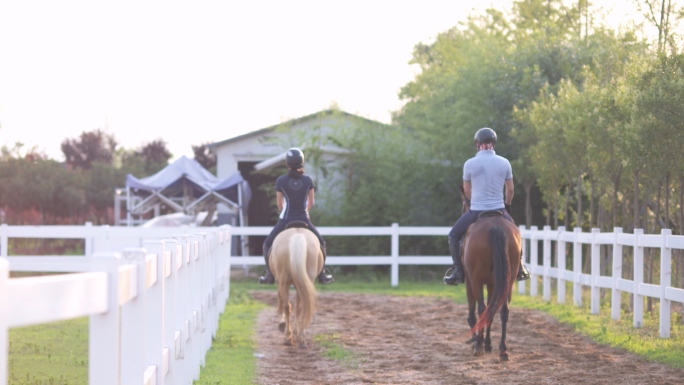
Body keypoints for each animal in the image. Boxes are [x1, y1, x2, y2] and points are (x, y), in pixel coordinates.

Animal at [460, 186, 524, 360]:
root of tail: (496, 226)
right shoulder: (492, 283)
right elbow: (492, 309)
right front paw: (488, 343)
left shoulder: (470, 281)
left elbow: (473, 311)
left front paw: (478, 341)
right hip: (508, 281)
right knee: (503, 310)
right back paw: (503, 350)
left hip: (475, 280)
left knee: (482, 309)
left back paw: (479, 346)